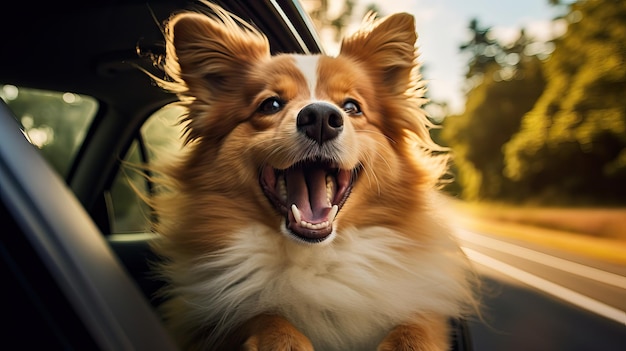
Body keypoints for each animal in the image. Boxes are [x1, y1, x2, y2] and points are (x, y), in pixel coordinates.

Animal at [150, 1, 472, 350]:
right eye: (270, 104)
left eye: (352, 107)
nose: (320, 117)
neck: (314, 258)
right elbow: (264, 317)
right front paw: (284, 339)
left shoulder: (422, 312)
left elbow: (414, 328)